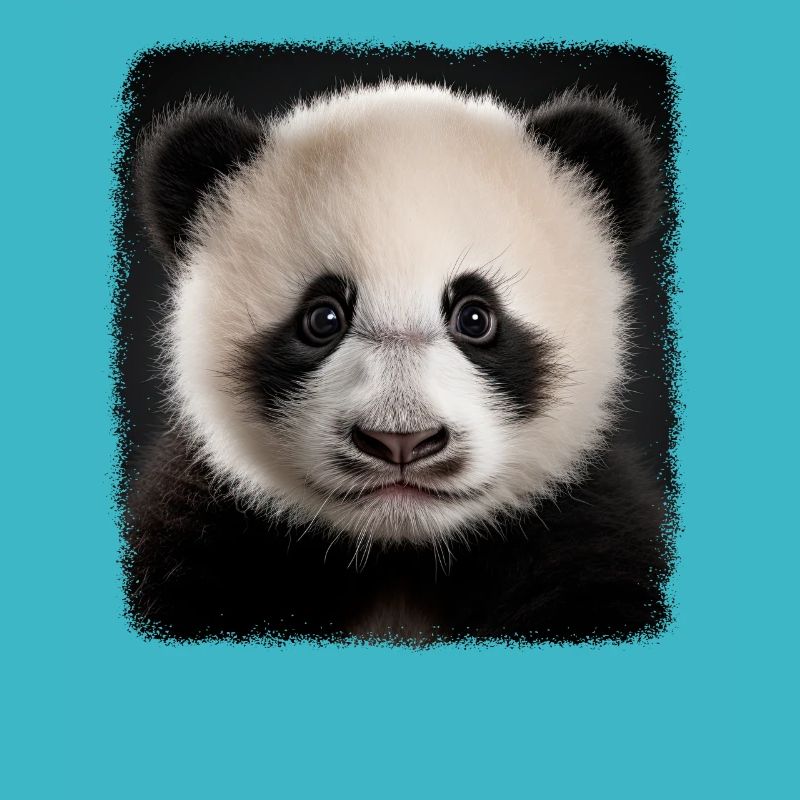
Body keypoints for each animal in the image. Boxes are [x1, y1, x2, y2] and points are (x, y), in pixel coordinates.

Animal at [126, 81, 669, 644]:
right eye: (323, 318)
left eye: (476, 318)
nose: (400, 441)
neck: (399, 557)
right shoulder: (205, 533)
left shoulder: (587, 536)